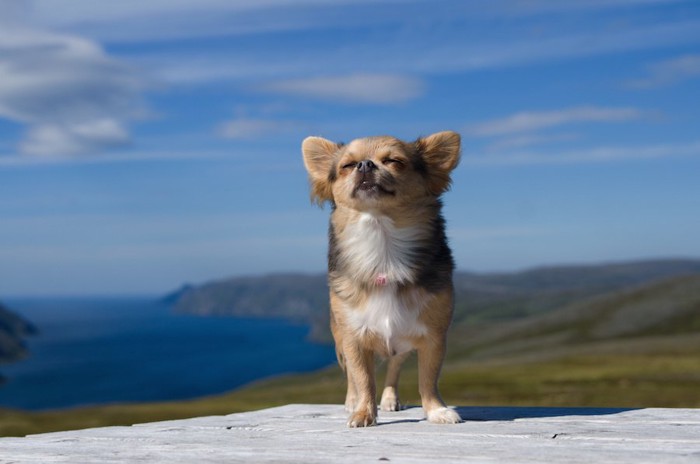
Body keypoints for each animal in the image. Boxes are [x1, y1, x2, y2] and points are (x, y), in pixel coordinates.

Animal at [300, 130, 460, 428]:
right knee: (353, 376)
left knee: (394, 368)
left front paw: (436, 410)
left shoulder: (433, 336)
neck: (383, 248)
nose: (365, 164)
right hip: (340, 337)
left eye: (394, 161)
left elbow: (428, 379)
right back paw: (352, 402)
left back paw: (389, 399)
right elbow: (363, 378)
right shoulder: (353, 337)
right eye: (347, 166)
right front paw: (363, 412)